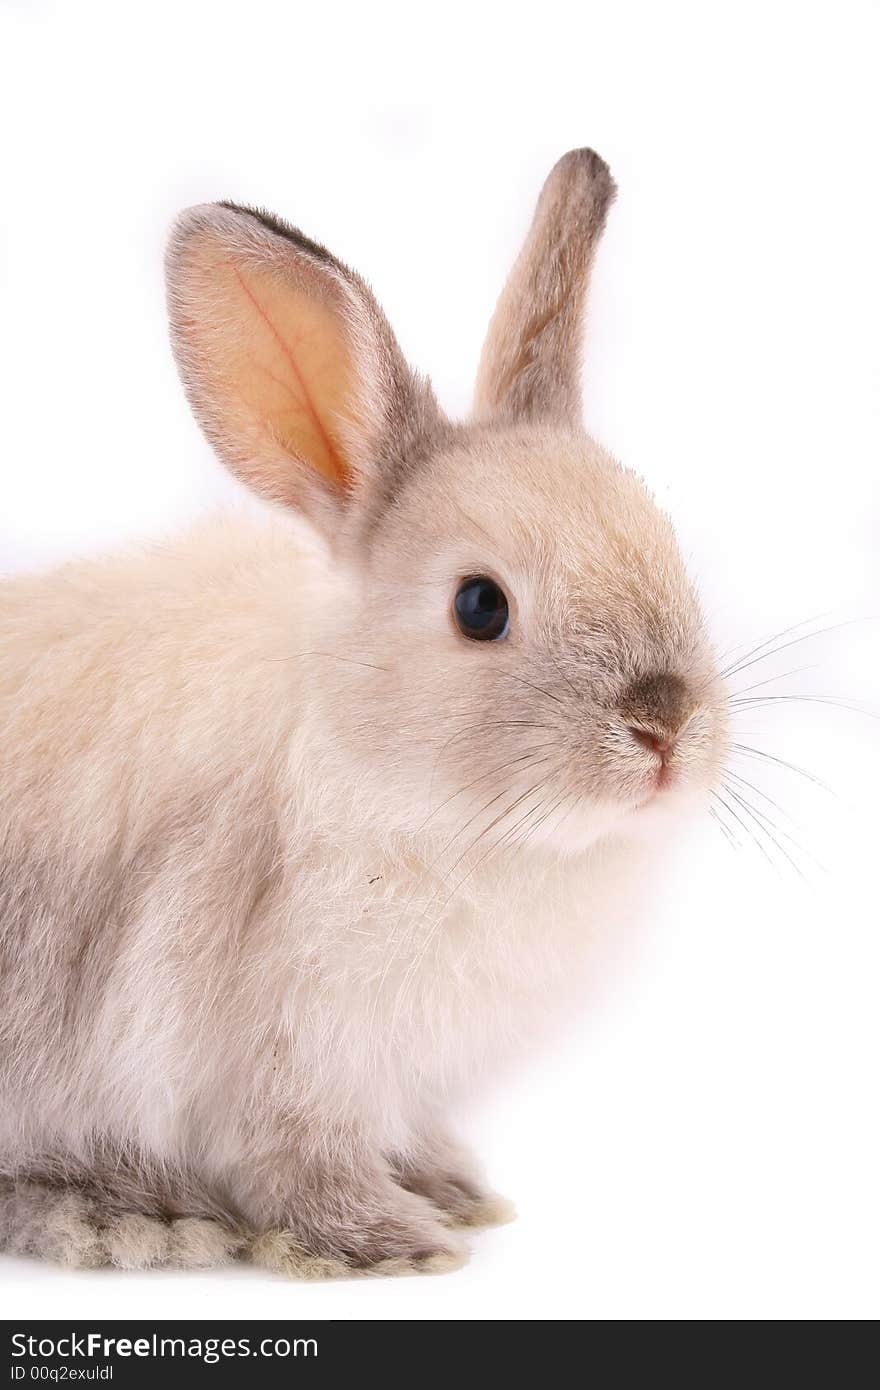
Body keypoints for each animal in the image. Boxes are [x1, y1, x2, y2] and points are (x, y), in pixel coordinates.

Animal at [0, 149, 728, 1273]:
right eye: (479, 606)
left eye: (667, 544)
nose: (665, 726)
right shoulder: (279, 1063)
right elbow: (300, 1168)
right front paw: (395, 1243)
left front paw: (454, 1191)